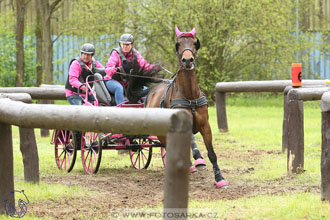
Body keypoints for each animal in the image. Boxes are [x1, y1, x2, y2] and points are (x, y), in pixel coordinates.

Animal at [146, 25, 228, 187]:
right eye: (178, 44)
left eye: (194, 43)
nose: (188, 60)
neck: (189, 96)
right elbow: (190, 143)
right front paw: (196, 160)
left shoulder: (205, 125)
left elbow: (211, 153)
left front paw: (219, 178)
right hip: (162, 133)